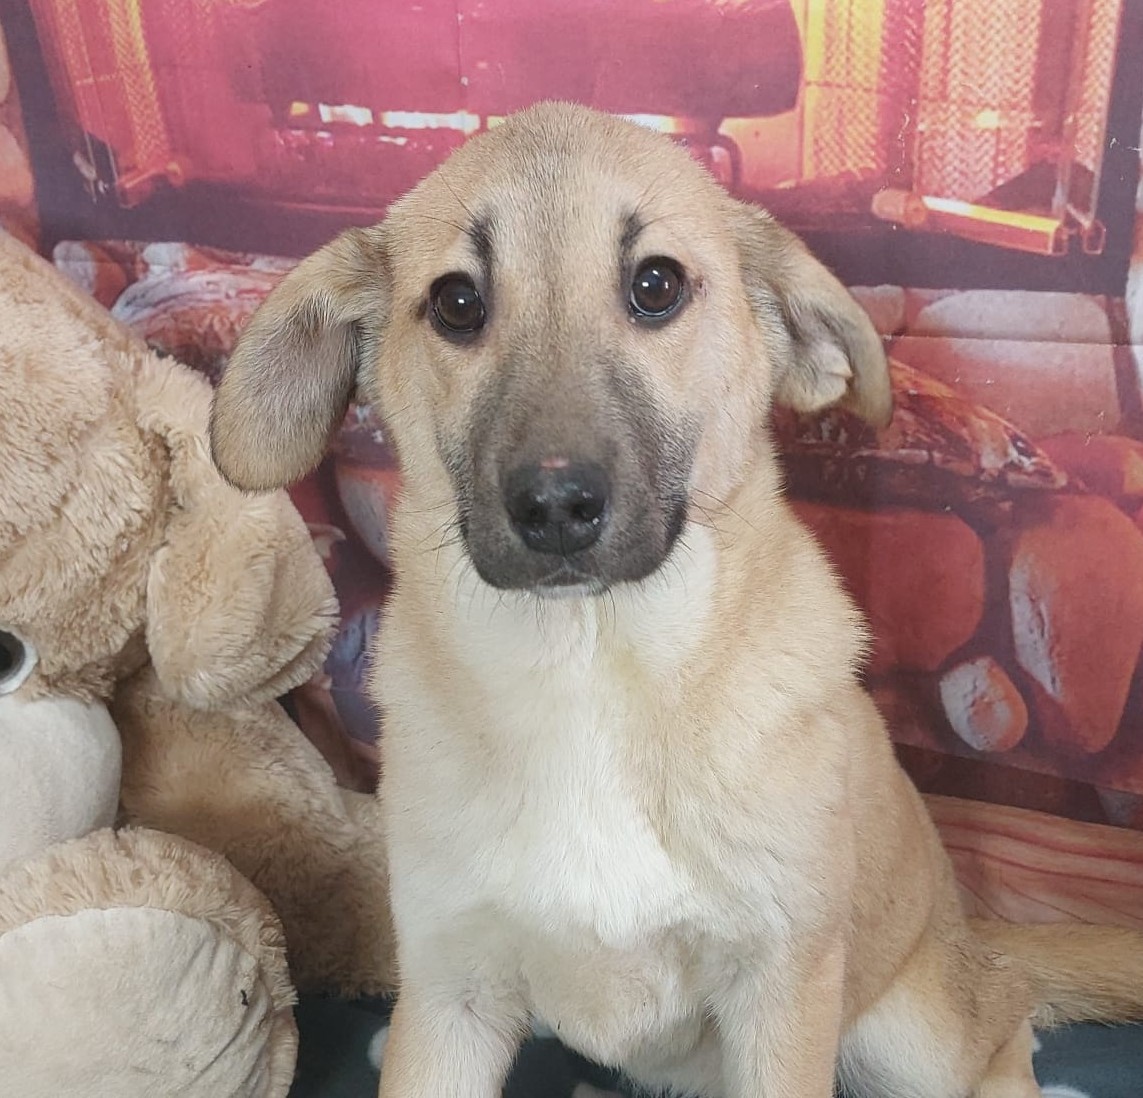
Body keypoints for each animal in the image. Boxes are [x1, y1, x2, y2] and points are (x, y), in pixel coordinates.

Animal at [211, 102, 1143, 1098]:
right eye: (458, 304)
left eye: (654, 285)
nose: (554, 506)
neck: (590, 673)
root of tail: (969, 936)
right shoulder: (449, 995)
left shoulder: (781, 994)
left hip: (906, 1031)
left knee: (1001, 1026)